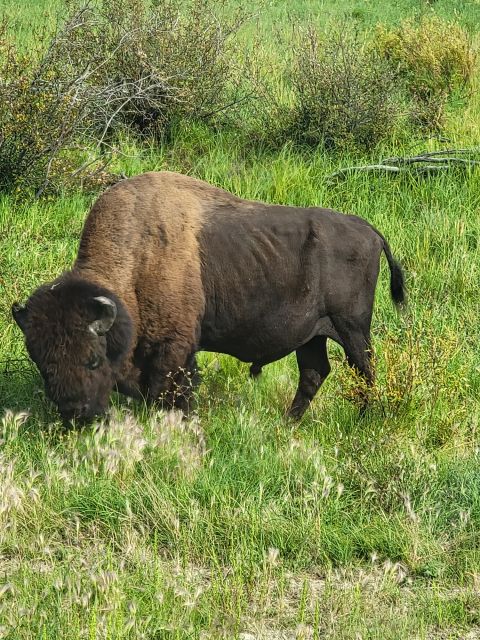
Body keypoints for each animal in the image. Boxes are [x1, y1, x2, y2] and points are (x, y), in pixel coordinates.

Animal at [12, 170, 404, 422]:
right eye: (42, 362)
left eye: (93, 359)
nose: (74, 413)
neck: (136, 260)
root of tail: (368, 229)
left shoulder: (174, 349)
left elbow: (171, 392)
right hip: (312, 334)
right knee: (314, 373)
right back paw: (289, 422)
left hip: (351, 328)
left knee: (364, 370)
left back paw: (364, 419)